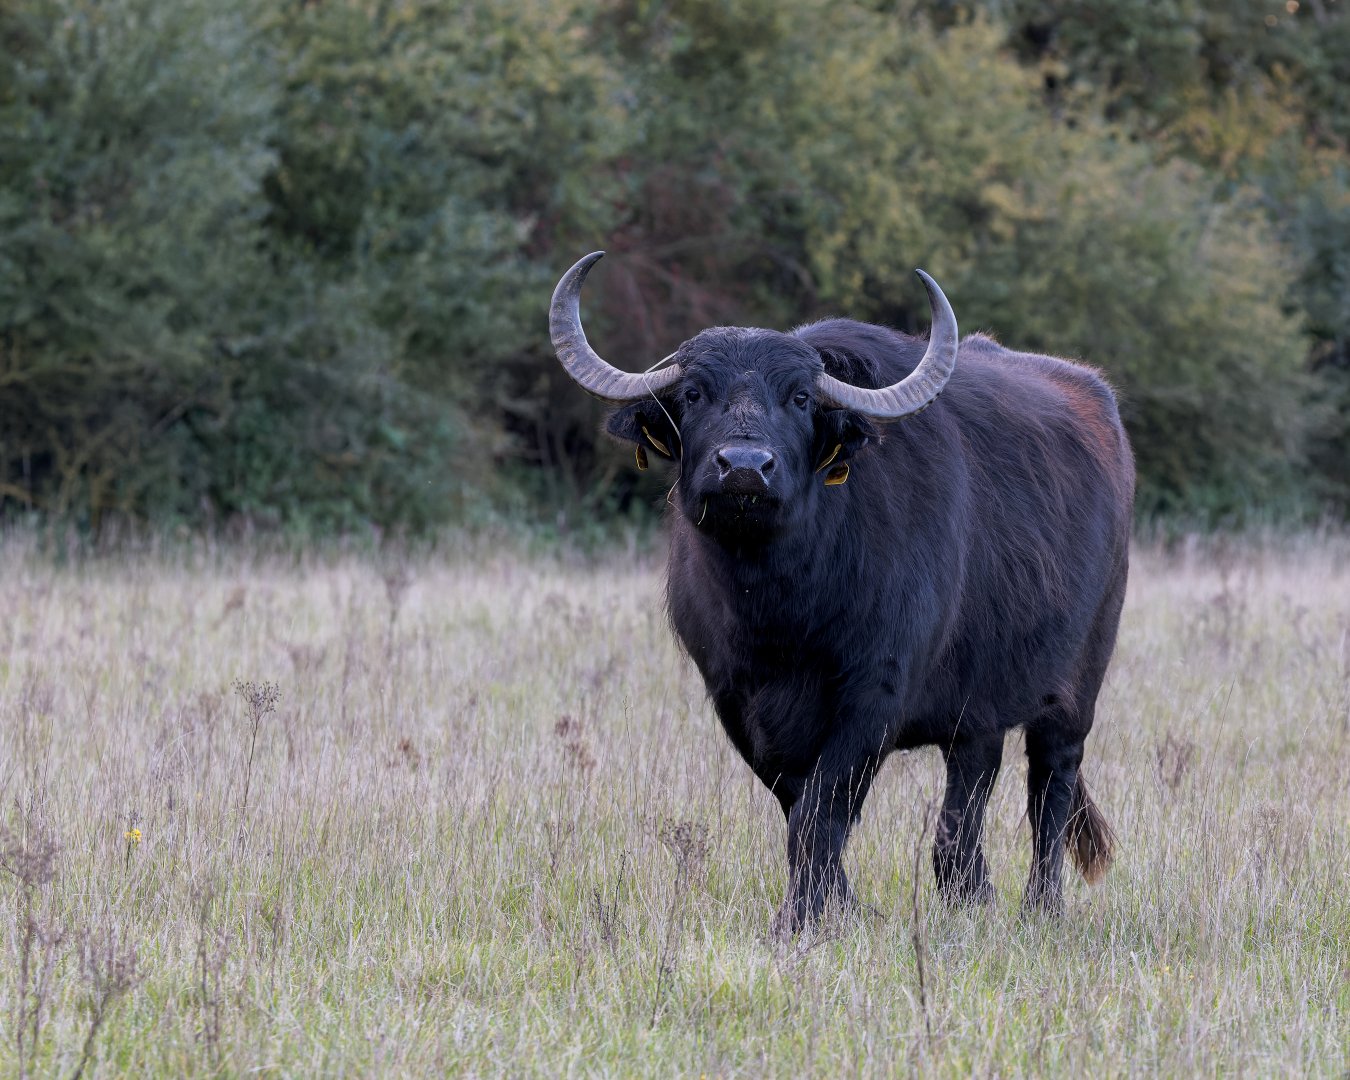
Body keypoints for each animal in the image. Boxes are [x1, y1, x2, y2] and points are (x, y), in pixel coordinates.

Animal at [549, 251, 1133, 930]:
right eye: (693, 394)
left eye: (801, 398)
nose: (743, 467)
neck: (781, 608)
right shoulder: (737, 702)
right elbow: (799, 807)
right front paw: (840, 909)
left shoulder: (872, 698)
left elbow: (820, 810)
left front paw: (800, 920)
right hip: (978, 708)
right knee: (966, 802)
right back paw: (970, 896)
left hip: (1077, 687)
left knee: (1049, 790)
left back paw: (1042, 907)